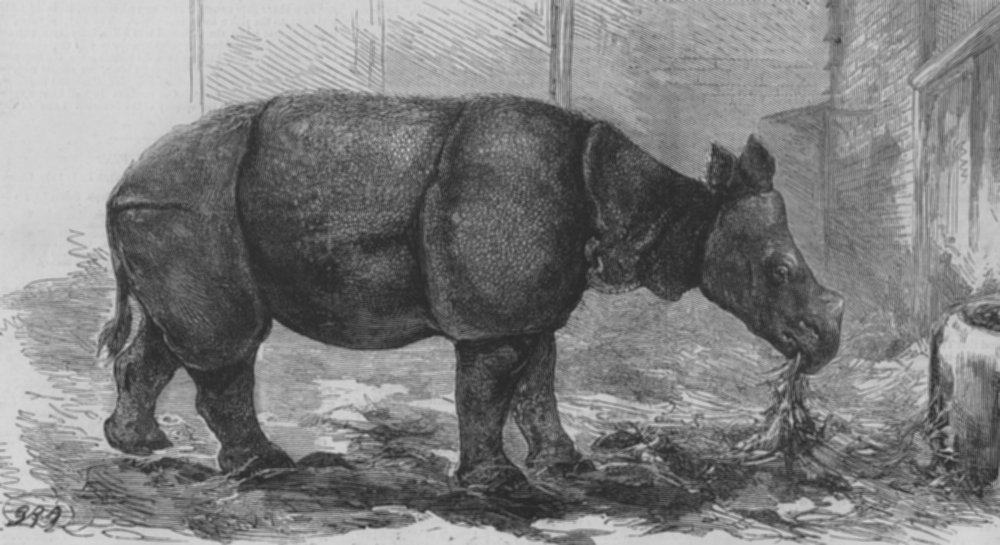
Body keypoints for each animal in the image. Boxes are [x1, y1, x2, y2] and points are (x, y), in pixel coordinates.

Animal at [99, 91, 843, 493]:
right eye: (778, 270)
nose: (824, 341)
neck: (648, 203)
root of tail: (120, 183)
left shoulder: (533, 308)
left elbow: (539, 385)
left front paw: (567, 466)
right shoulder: (494, 316)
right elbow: (487, 391)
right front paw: (496, 482)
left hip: (169, 209)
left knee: (171, 336)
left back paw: (140, 445)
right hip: (187, 204)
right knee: (227, 339)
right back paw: (266, 469)